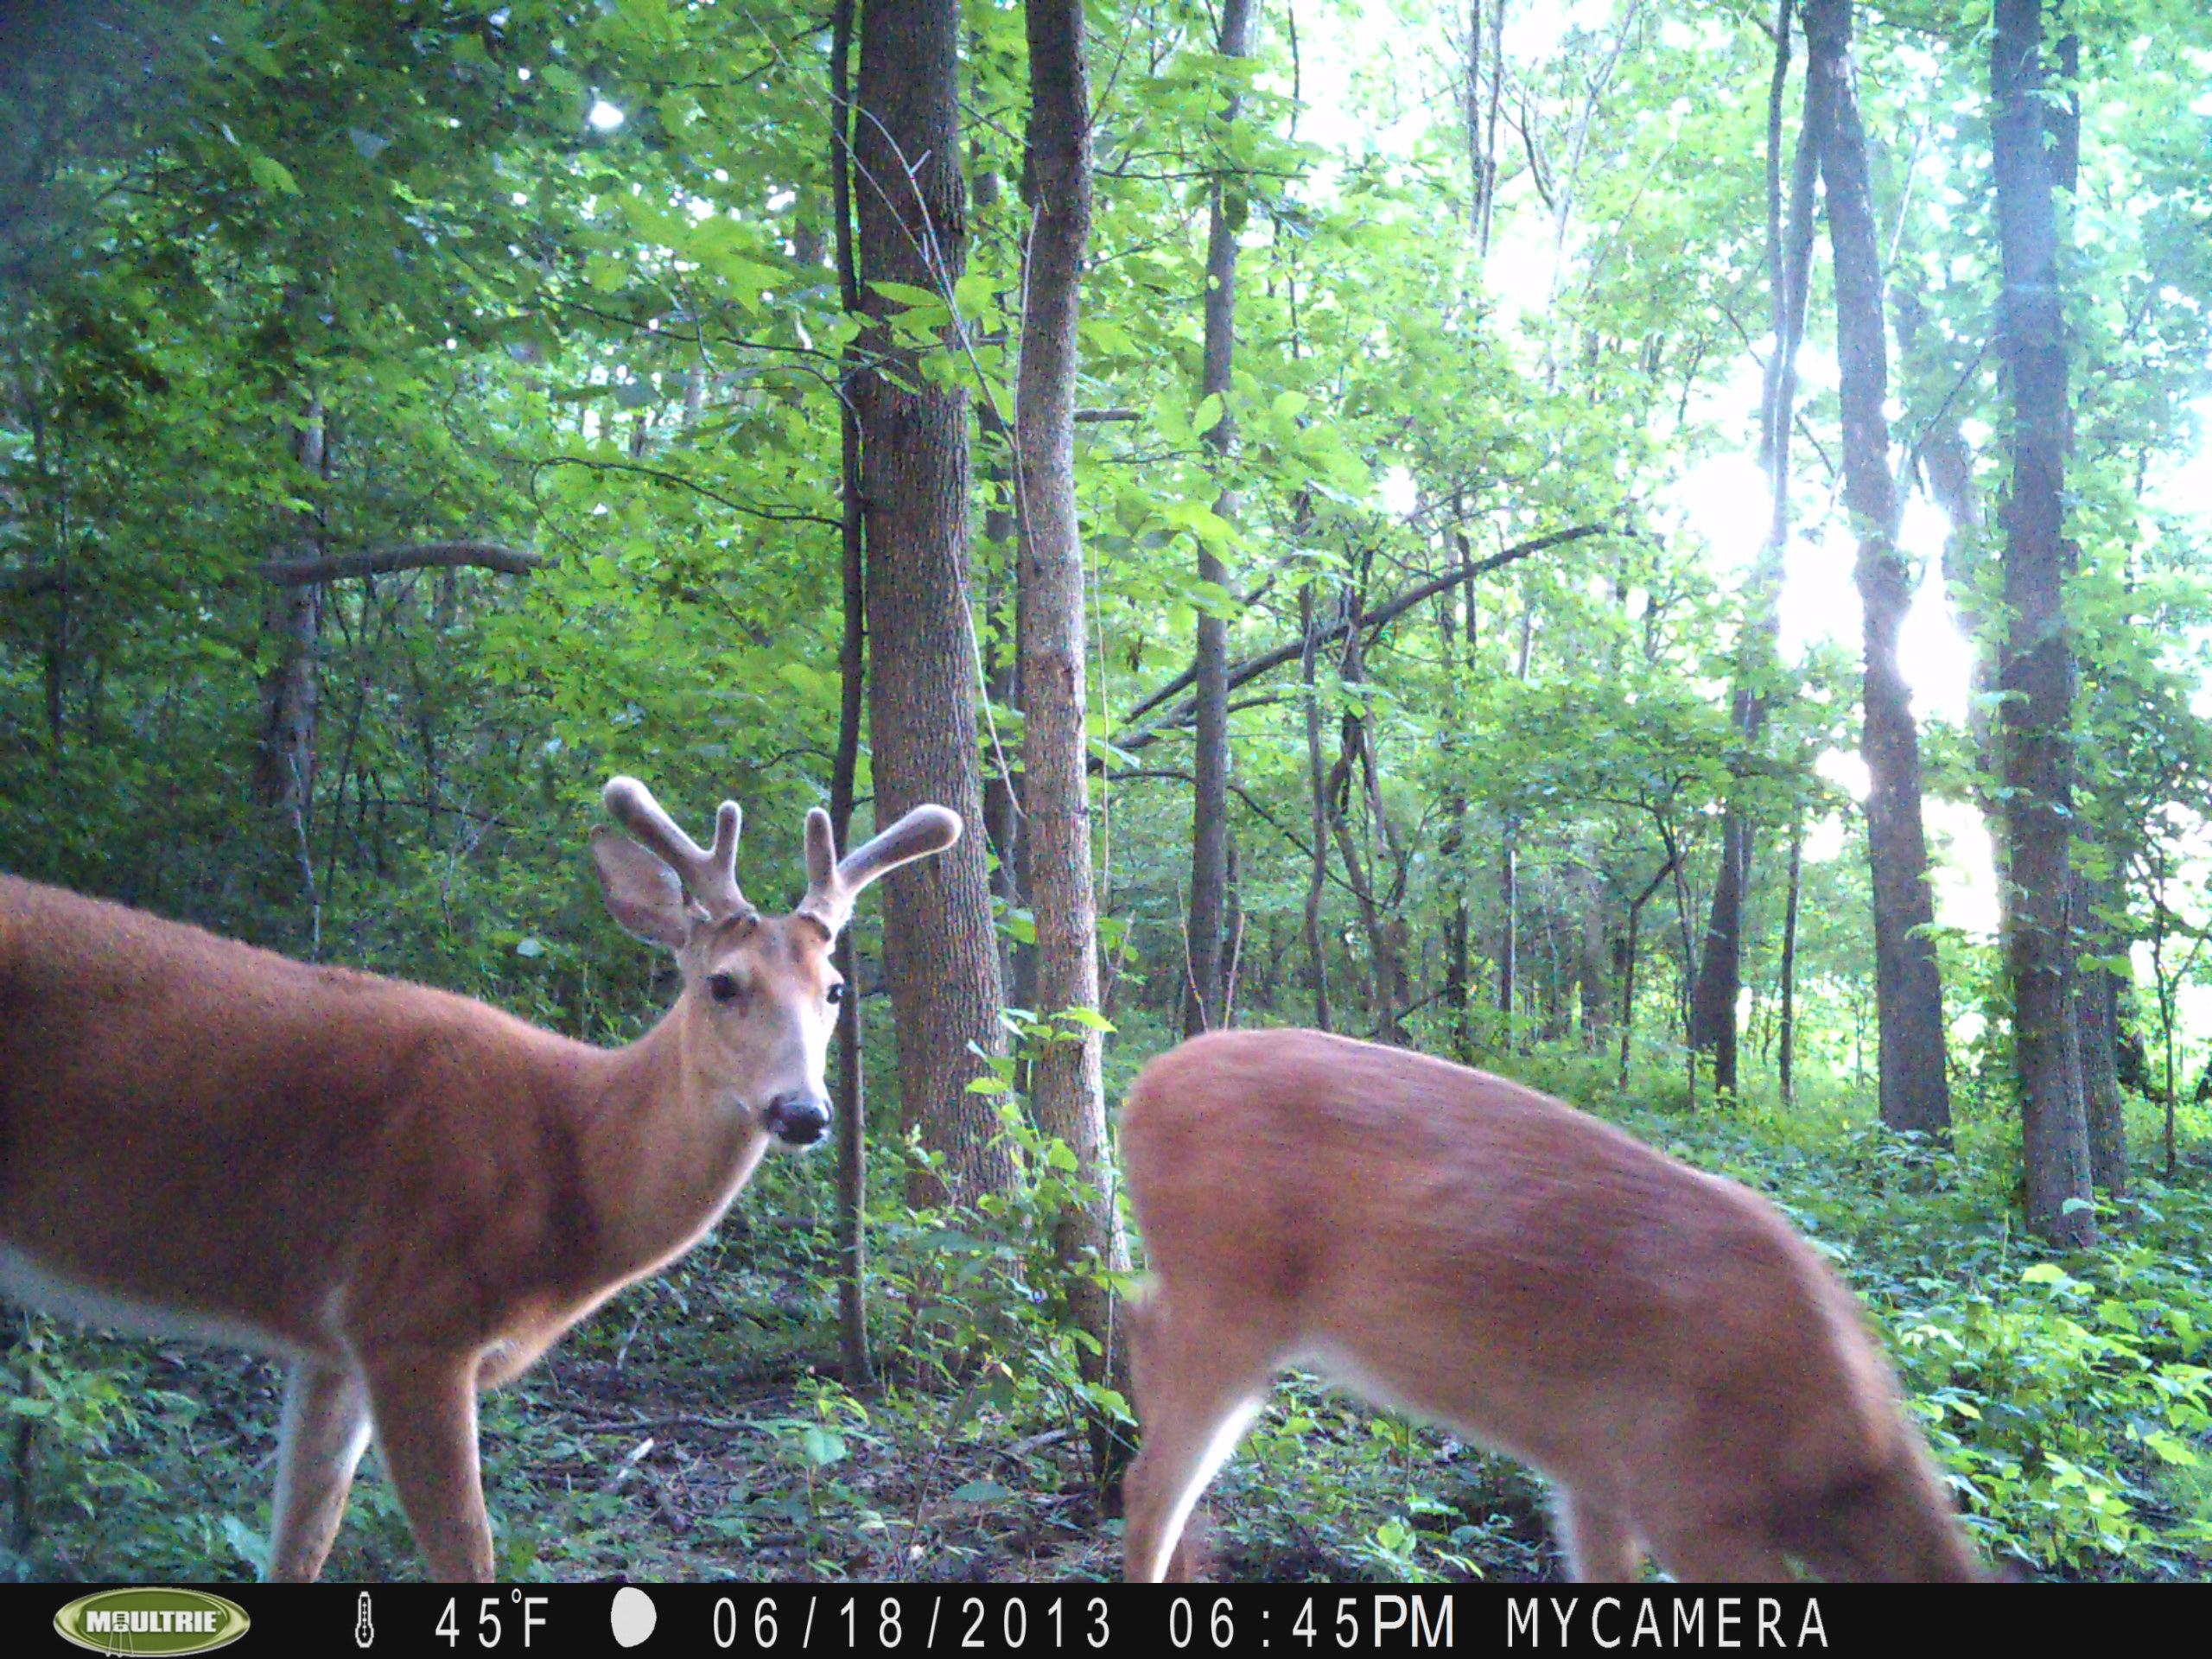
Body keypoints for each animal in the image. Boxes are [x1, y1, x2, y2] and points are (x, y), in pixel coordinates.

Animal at [0, 779, 960, 1583]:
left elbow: (302, 1541)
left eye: (834, 990)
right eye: (723, 984)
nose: (804, 1112)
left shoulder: (333, 1342)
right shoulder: (413, 1318)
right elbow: (467, 1550)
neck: (568, 1164)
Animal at [1123, 1035, 1991, 1592]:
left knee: (1140, 1324)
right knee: (1149, 1480)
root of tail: (1142, 1089)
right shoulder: (1691, 1498)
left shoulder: (1598, 1480)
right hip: (1231, 1299)